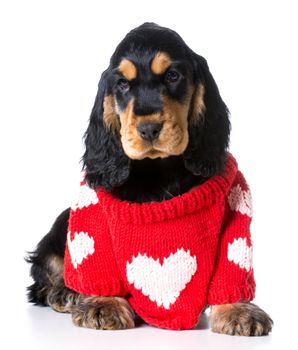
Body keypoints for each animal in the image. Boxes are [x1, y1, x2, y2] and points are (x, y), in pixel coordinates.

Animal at [26, 23, 274, 334]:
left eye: (172, 76)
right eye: (122, 84)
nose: (149, 129)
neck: (158, 169)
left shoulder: (234, 216)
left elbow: (231, 267)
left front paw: (238, 309)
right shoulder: (92, 218)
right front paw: (104, 303)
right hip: (60, 227)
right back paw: (65, 293)